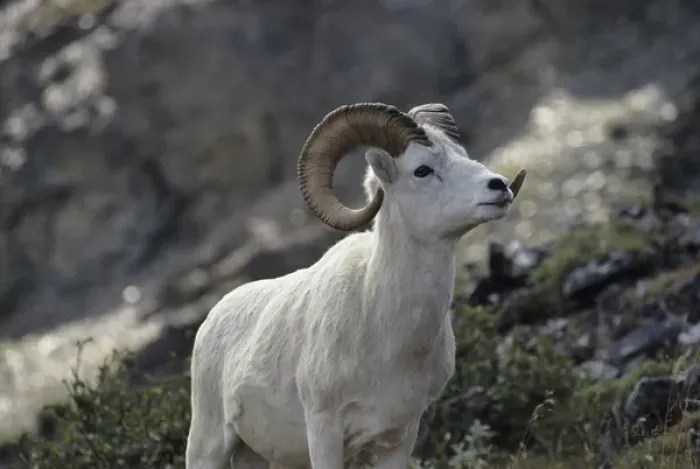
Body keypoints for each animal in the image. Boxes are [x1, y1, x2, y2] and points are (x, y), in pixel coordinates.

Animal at [185, 102, 526, 469]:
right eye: (422, 170)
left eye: (462, 154)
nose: (498, 186)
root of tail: (212, 319)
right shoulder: (324, 431)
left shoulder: (399, 437)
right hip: (208, 447)